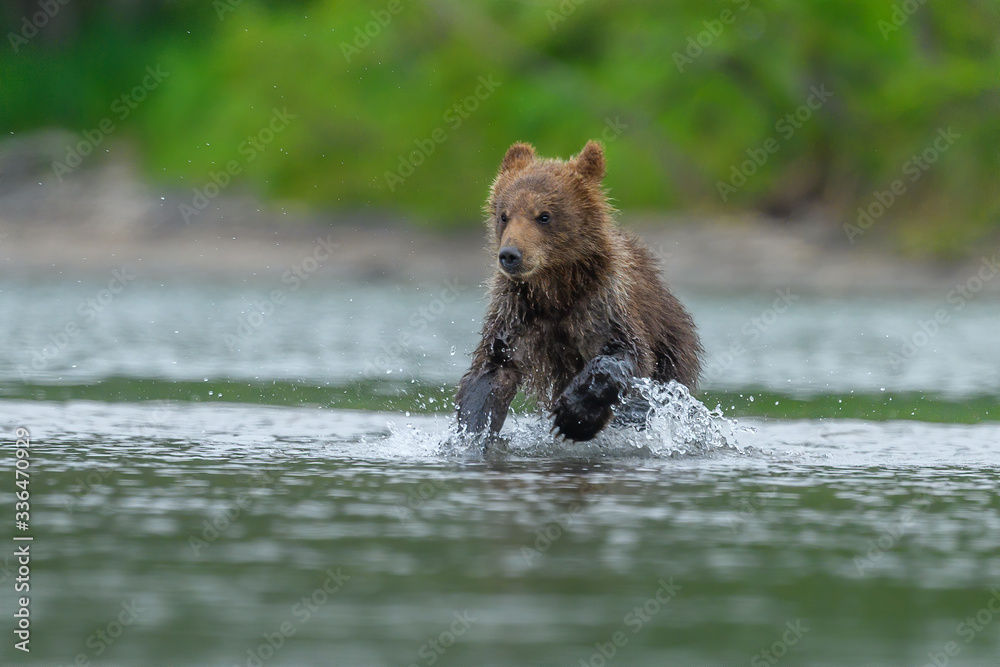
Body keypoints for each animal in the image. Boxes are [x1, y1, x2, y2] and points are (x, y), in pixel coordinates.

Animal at [455, 140, 702, 442]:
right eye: (504, 215)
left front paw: (574, 416)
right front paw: (472, 434)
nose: (510, 254)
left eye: (544, 216)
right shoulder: (516, 313)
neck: (554, 290)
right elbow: (493, 371)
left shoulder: (601, 304)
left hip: (672, 342)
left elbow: (624, 354)